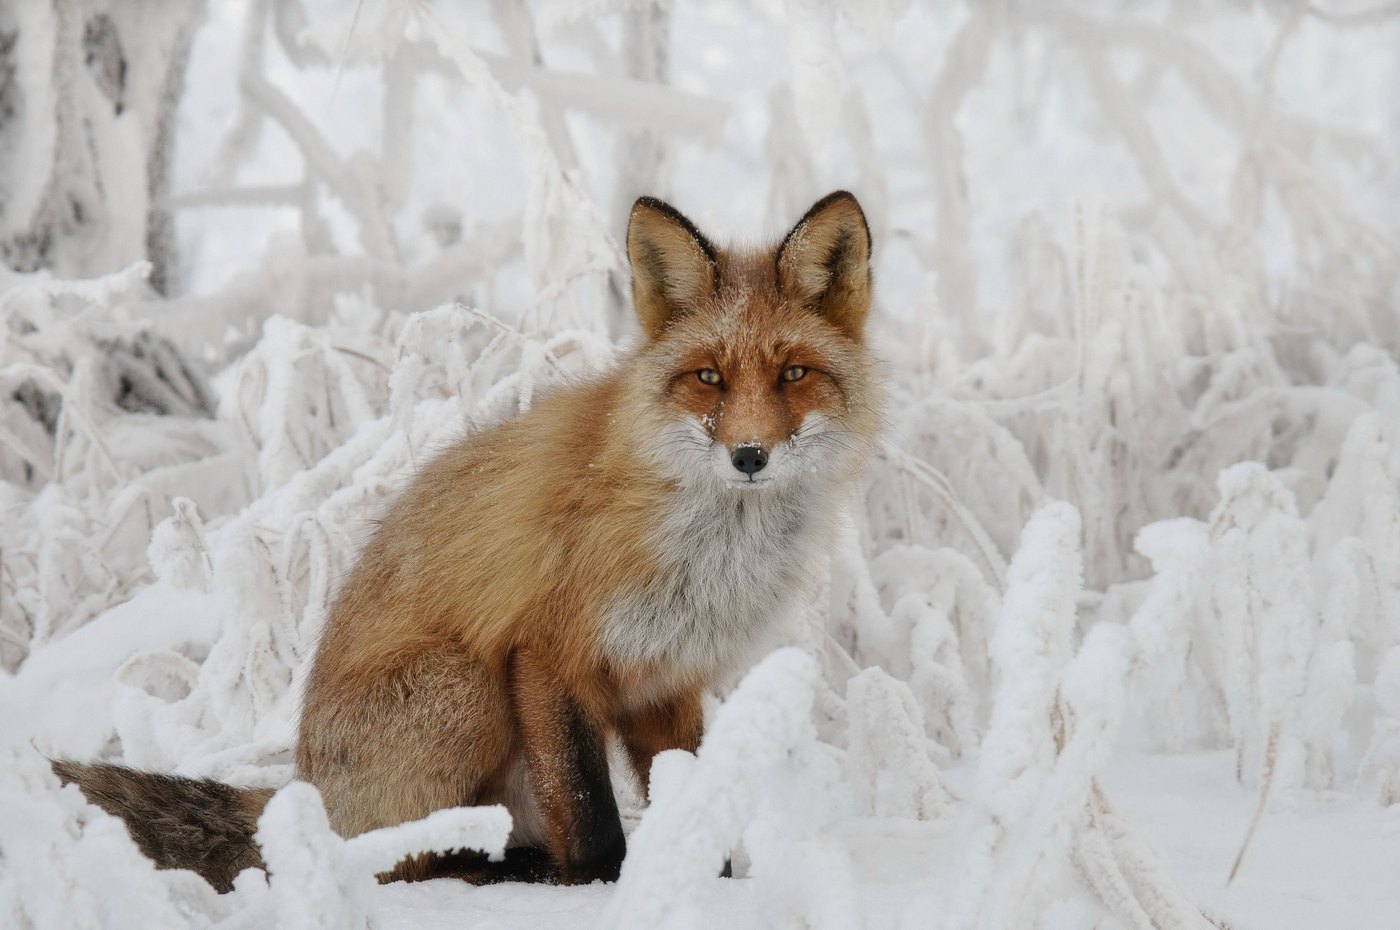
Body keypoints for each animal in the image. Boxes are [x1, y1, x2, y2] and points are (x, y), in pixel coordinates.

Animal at [57, 190, 884, 896]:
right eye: (709, 377)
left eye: (794, 373)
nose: (749, 456)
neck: (707, 549)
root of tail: (303, 790)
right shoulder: (547, 652)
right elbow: (589, 807)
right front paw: (601, 888)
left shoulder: (665, 682)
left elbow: (693, 796)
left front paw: (704, 883)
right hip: (469, 686)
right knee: (399, 863)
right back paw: (507, 872)